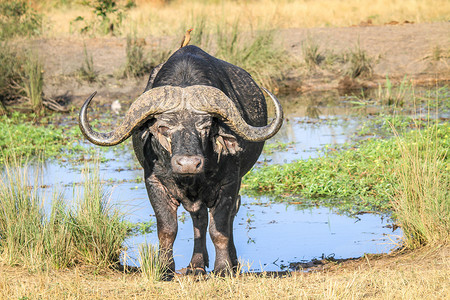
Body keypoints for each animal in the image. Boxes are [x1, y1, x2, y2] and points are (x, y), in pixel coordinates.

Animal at [77, 45, 282, 276]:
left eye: (206, 126)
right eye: (163, 127)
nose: (189, 164)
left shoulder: (229, 183)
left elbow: (220, 229)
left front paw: (223, 268)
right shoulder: (154, 183)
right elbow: (168, 229)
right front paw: (165, 268)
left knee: (227, 216)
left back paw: (232, 262)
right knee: (199, 220)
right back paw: (196, 265)